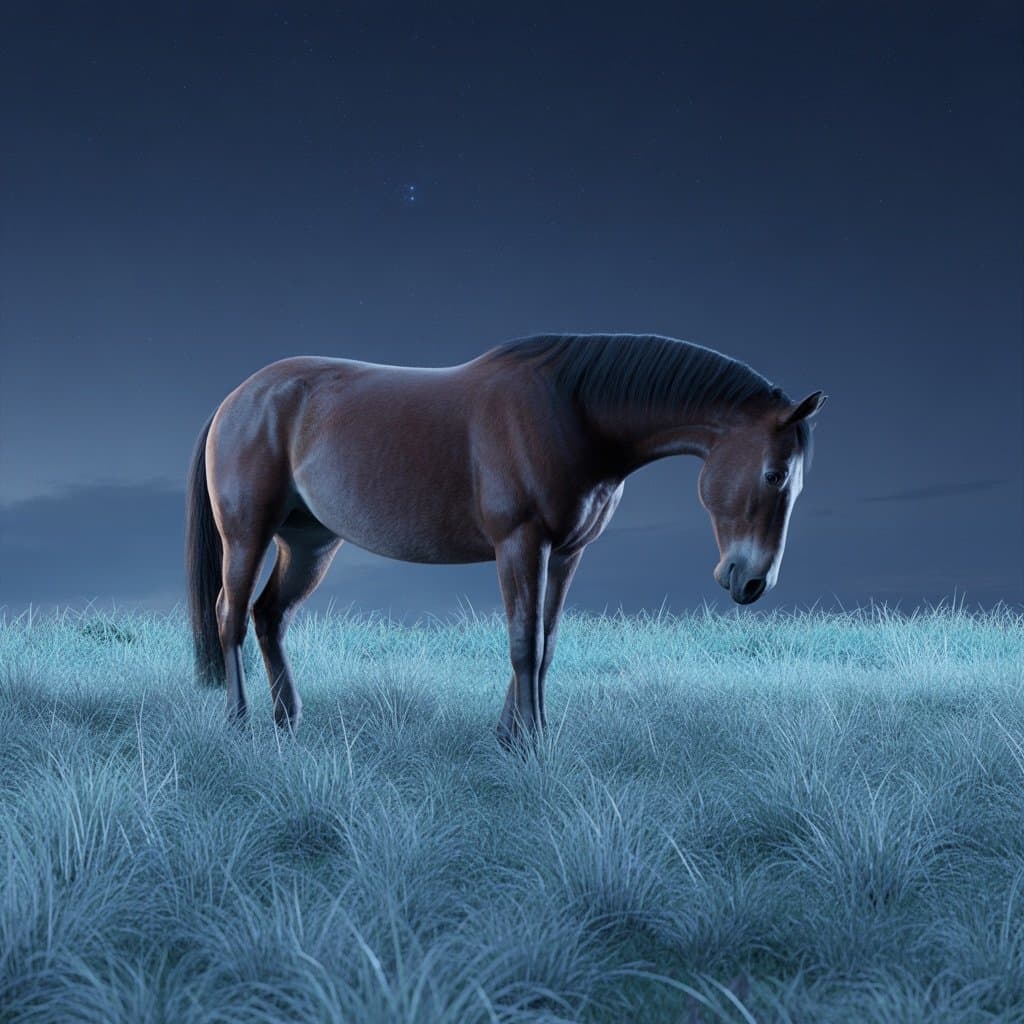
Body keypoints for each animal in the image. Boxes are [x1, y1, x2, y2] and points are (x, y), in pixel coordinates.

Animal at [185, 333, 825, 747]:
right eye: (774, 475)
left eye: (795, 484)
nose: (752, 581)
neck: (573, 412)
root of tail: (235, 401)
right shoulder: (521, 544)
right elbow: (524, 644)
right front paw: (532, 743)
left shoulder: (566, 554)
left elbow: (546, 643)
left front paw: (511, 735)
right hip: (247, 535)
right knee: (231, 617)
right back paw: (238, 723)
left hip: (309, 544)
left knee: (270, 616)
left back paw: (288, 720)